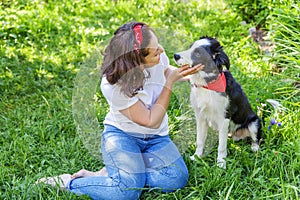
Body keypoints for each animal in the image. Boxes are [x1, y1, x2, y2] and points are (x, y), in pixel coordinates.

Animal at [175, 36, 262, 168]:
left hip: (254, 122)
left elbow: (221, 146)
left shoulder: (224, 118)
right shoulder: (200, 117)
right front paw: (196, 157)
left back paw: (254, 148)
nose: (175, 55)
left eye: (198, 53)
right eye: (190, 47)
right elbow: (200, 140)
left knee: (256, 138)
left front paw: (221, 164)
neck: (207, 85)